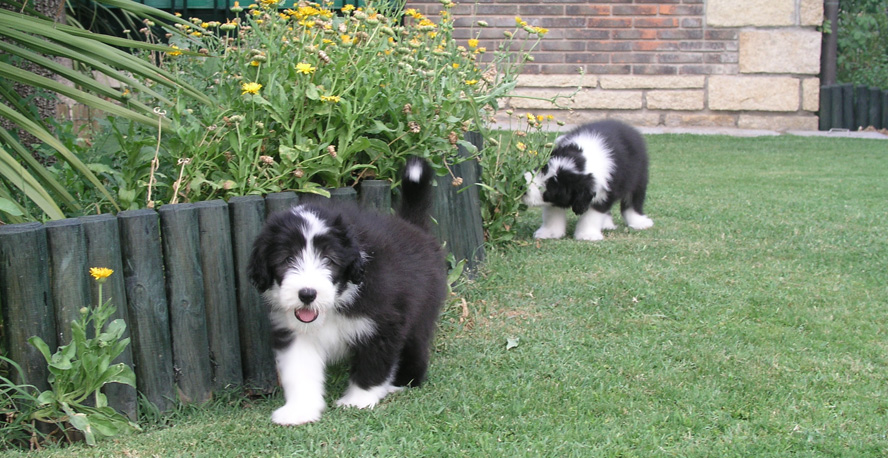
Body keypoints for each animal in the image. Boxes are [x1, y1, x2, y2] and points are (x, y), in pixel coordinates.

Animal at [248, 157, 444, 426]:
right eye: (287, 260)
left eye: (329, 260)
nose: (307, 294)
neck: (334, 305)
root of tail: (413, 226)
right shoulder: (295, 332)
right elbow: (300, 370)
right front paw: (299, 410)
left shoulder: (382, 324)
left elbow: (372, 365)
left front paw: (358, 400)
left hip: (422, 309)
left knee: (416, 345)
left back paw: (404, 381)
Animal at [520, 118, 652, 242]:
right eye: (542, 168)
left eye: (550, 189)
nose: (523, 188)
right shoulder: (558, 200)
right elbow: (552, 213)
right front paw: (549, 233)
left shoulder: (603, 192)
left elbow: (592, 215)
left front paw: (587, 235)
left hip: (638, 177)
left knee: (632, 201)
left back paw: (639, 222)